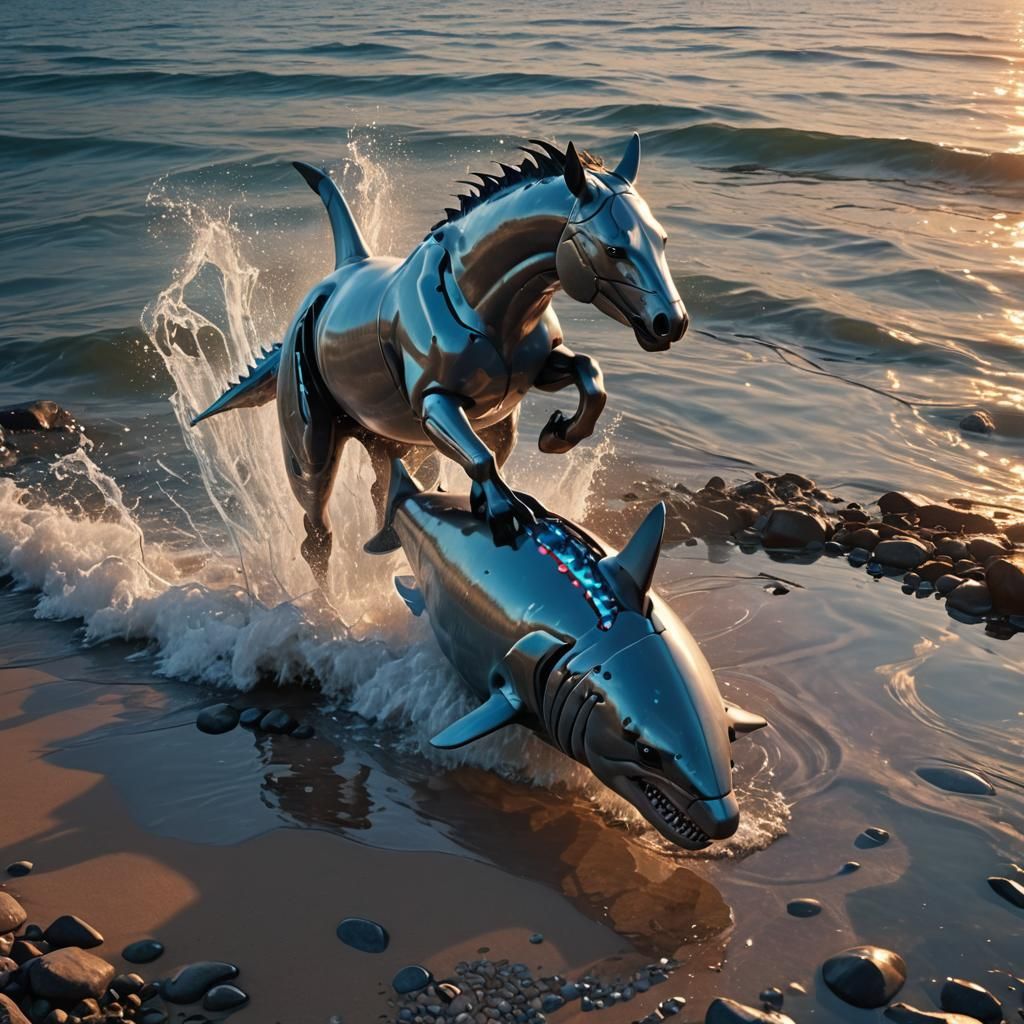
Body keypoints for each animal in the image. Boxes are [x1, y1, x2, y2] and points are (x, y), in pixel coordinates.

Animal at [191, 134, 688, 585]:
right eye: (614, 248)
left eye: (663, 239)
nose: (671, 323)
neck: (482, 300)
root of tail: (338, 277)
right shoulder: (434, 404)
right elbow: (481, 459)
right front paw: (507, 514)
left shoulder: (535, 373)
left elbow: (589, 375)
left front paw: (557, 435)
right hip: (311, 445)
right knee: (316, 532)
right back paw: (327, 604)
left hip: (391, 436)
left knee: (385, 489)